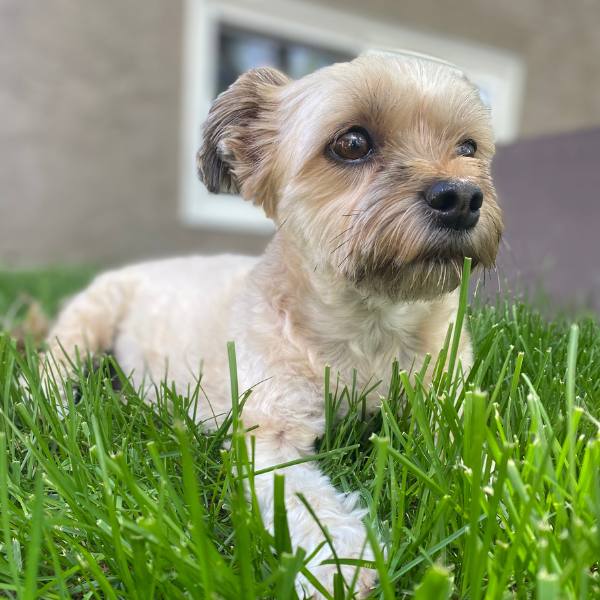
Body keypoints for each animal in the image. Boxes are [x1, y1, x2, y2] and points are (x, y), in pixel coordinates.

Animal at [42, 51, 502, 596]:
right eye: (352, 143)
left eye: (469, 147)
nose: (462, 198)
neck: (370, 325)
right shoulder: (268, 435)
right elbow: (306, 501)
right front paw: (343, 565)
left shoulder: (451, 401)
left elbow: (479, 452)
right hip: (88, 320)